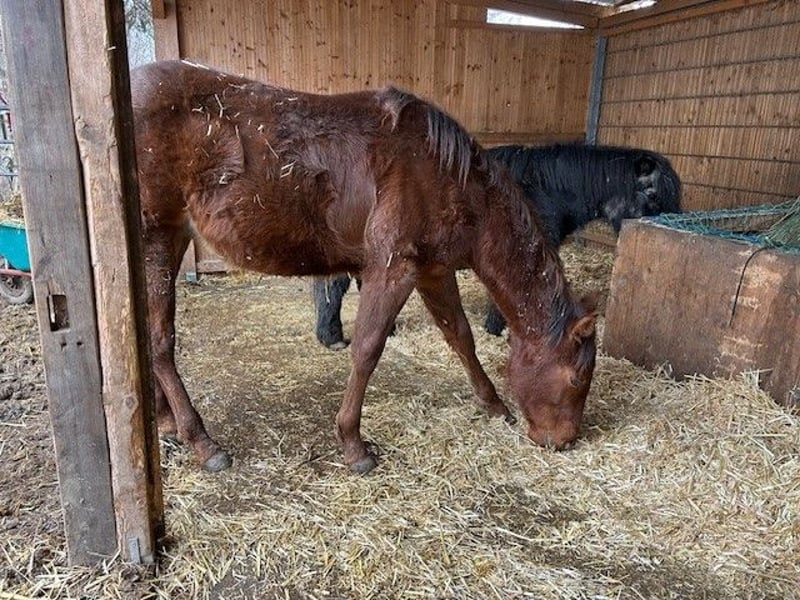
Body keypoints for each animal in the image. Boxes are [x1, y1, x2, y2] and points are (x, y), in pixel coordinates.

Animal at [132, 60, 598, 474]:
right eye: (577, 379)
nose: (563, 440)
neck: (449, 176)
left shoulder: (433, 271)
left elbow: (461, 338)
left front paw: (494, 404)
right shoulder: (393, 268)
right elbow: (368, 349)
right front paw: (353, 444)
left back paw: (168, 423)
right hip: (157, 238)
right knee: (160, 343)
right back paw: (201, 441)